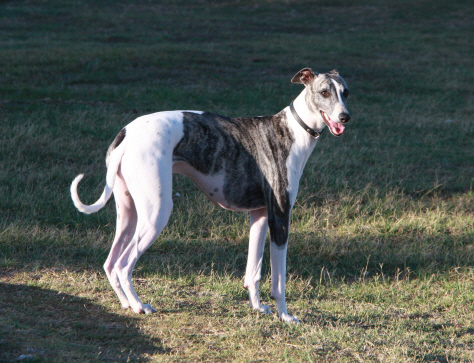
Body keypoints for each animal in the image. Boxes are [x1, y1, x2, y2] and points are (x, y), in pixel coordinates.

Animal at [71, 68, 352, 324]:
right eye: (324, 92)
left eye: (346, 92)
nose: (345, 116)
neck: (292, 129)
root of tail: (127, 134)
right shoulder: (280, 217)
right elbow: (278, 281)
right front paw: (285, 316)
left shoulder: (260, 215)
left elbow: (253, 272)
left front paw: (257, 307)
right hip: (156, 213)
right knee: (123, 264)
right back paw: (139, 305)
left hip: (128, 211)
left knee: (110, 263)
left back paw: (126, 303)